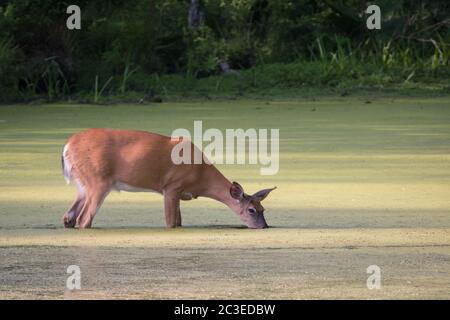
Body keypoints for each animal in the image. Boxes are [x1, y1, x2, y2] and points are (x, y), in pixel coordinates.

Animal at [61, 129, 276, 229]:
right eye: (251, 210)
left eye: (263, 209)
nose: (264, 226)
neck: (201, 178)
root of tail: (67, 145)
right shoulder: (171, 187)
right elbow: (171, 223)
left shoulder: (179, 193)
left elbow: (179, 222)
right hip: (98, 180)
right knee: (83, 219)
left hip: (83, 184)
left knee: (68, 217)